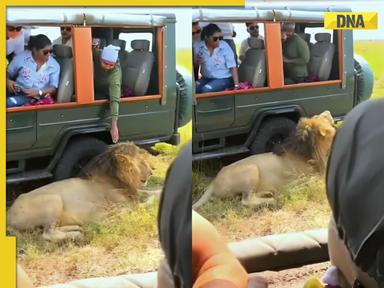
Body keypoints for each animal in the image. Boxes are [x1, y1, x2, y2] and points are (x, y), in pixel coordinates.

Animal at [6, 142, 153, 241]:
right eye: (142, 162)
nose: (152, 172)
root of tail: (8, 214)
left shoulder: (133, 194)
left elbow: (152, 193)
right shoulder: (120, 202)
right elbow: (137, 206)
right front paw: (114, 216)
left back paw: (76, 227)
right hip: (53, 200)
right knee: (48, 234)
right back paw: (77, 234)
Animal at [192, 111, 336, 209]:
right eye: (323, 117)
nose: (328, 112)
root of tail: (213, 182)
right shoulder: (296, 178)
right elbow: (311, 179)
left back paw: (268, 193)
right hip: (252, 169)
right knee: (246, 200)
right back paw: (272, 200)